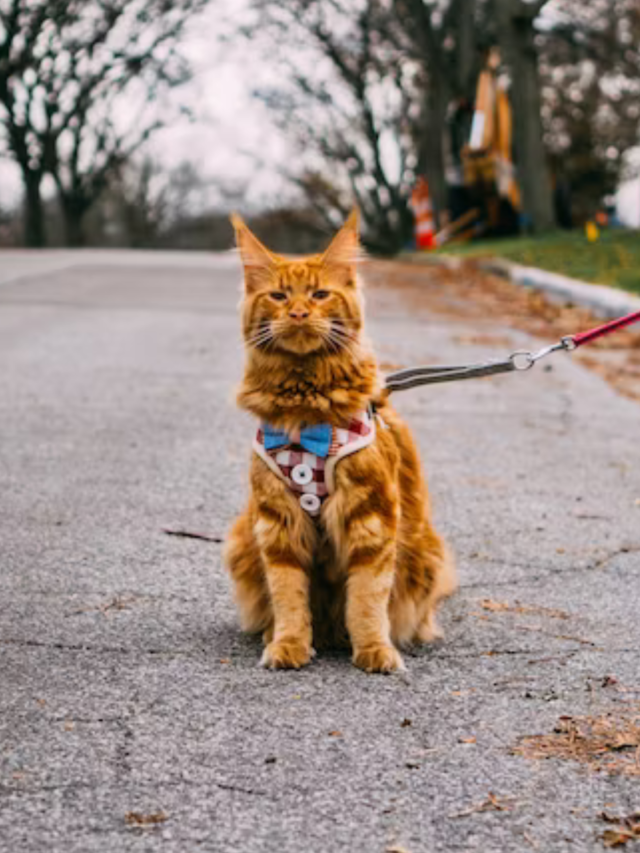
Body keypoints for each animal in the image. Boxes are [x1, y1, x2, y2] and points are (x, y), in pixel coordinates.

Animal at [225, 208, 456, 672]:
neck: (305, 406)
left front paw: (374, 650)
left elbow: (367, 598)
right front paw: (289, 644)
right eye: (279, 296)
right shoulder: (276, 523)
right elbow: (288, 596)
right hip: (244, 539)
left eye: (319, 295)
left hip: (427, 553)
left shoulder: (371, 517)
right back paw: (274, 633)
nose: (298, 313)